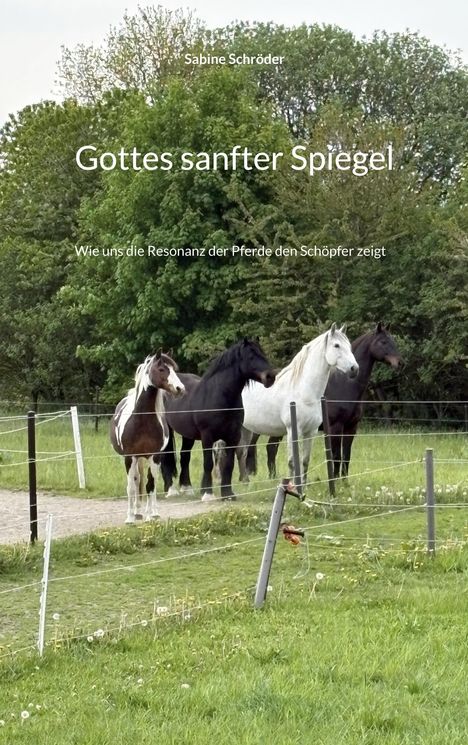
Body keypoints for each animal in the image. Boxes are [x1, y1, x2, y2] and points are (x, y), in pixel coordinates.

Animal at [110, 353, 185, 523]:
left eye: (174, 369)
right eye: (162, 369)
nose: (180, 389)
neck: (142, 419)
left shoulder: (155, 456)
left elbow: (151, 485)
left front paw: (150, 516)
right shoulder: (129, 457)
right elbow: (131, 486)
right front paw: (130, 518)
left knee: (152, 482)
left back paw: (152, 512)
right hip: (136, 458)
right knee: (137, 480)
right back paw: (137, 512)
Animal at [160, 338, 276, 501]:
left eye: (263, 354)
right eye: (251, 356)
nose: (270, 376)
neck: (219, 396)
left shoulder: (233, 436)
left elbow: (229, 464)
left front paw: (228, 494)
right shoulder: (207, 437)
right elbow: (208, 463)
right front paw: (207, 493)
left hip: (188, 434)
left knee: (184, 456)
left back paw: (187, 488)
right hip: (167, 431)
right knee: (166, 457)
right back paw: (170, 490)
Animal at [239, 324, 358, 490]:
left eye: (349, 346)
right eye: (336, 345)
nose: (355, 369)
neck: (302, 390)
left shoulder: (310, 432)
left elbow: (304, 461)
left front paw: (304, 486)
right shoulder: (292, 431)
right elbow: (291, 462)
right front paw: (292, 486)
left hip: (246, 429)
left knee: (241, 453)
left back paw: (245, 483)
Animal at [246, 322, 401, 480]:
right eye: (383, 342)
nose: (400, 362)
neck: (343, 385)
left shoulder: (351, 427)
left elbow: (346, 456)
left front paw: (345, 482)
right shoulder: (335, 427)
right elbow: (336, 456)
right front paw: (336, 480)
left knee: (270, 448)